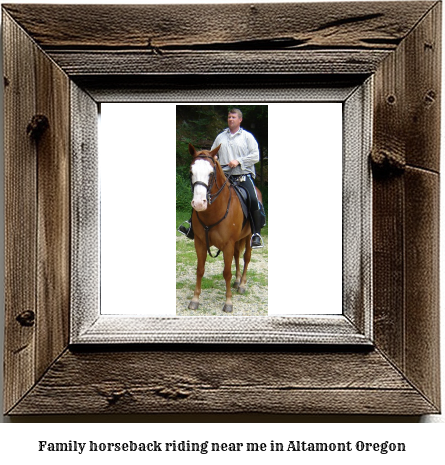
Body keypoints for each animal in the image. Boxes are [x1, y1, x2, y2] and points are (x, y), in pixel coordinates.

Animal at [187, 144, 260, 312]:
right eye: (191, 171)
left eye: (211, 173)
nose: (199, 203)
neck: (213, 213)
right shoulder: (200, 243)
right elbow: (200, 270)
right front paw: (195, 299)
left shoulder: (227, 244)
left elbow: (227, 272)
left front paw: (228, 302)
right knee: (237, 257)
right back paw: (238, 281)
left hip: (249, 237)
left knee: (246, 258)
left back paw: (242, 284)